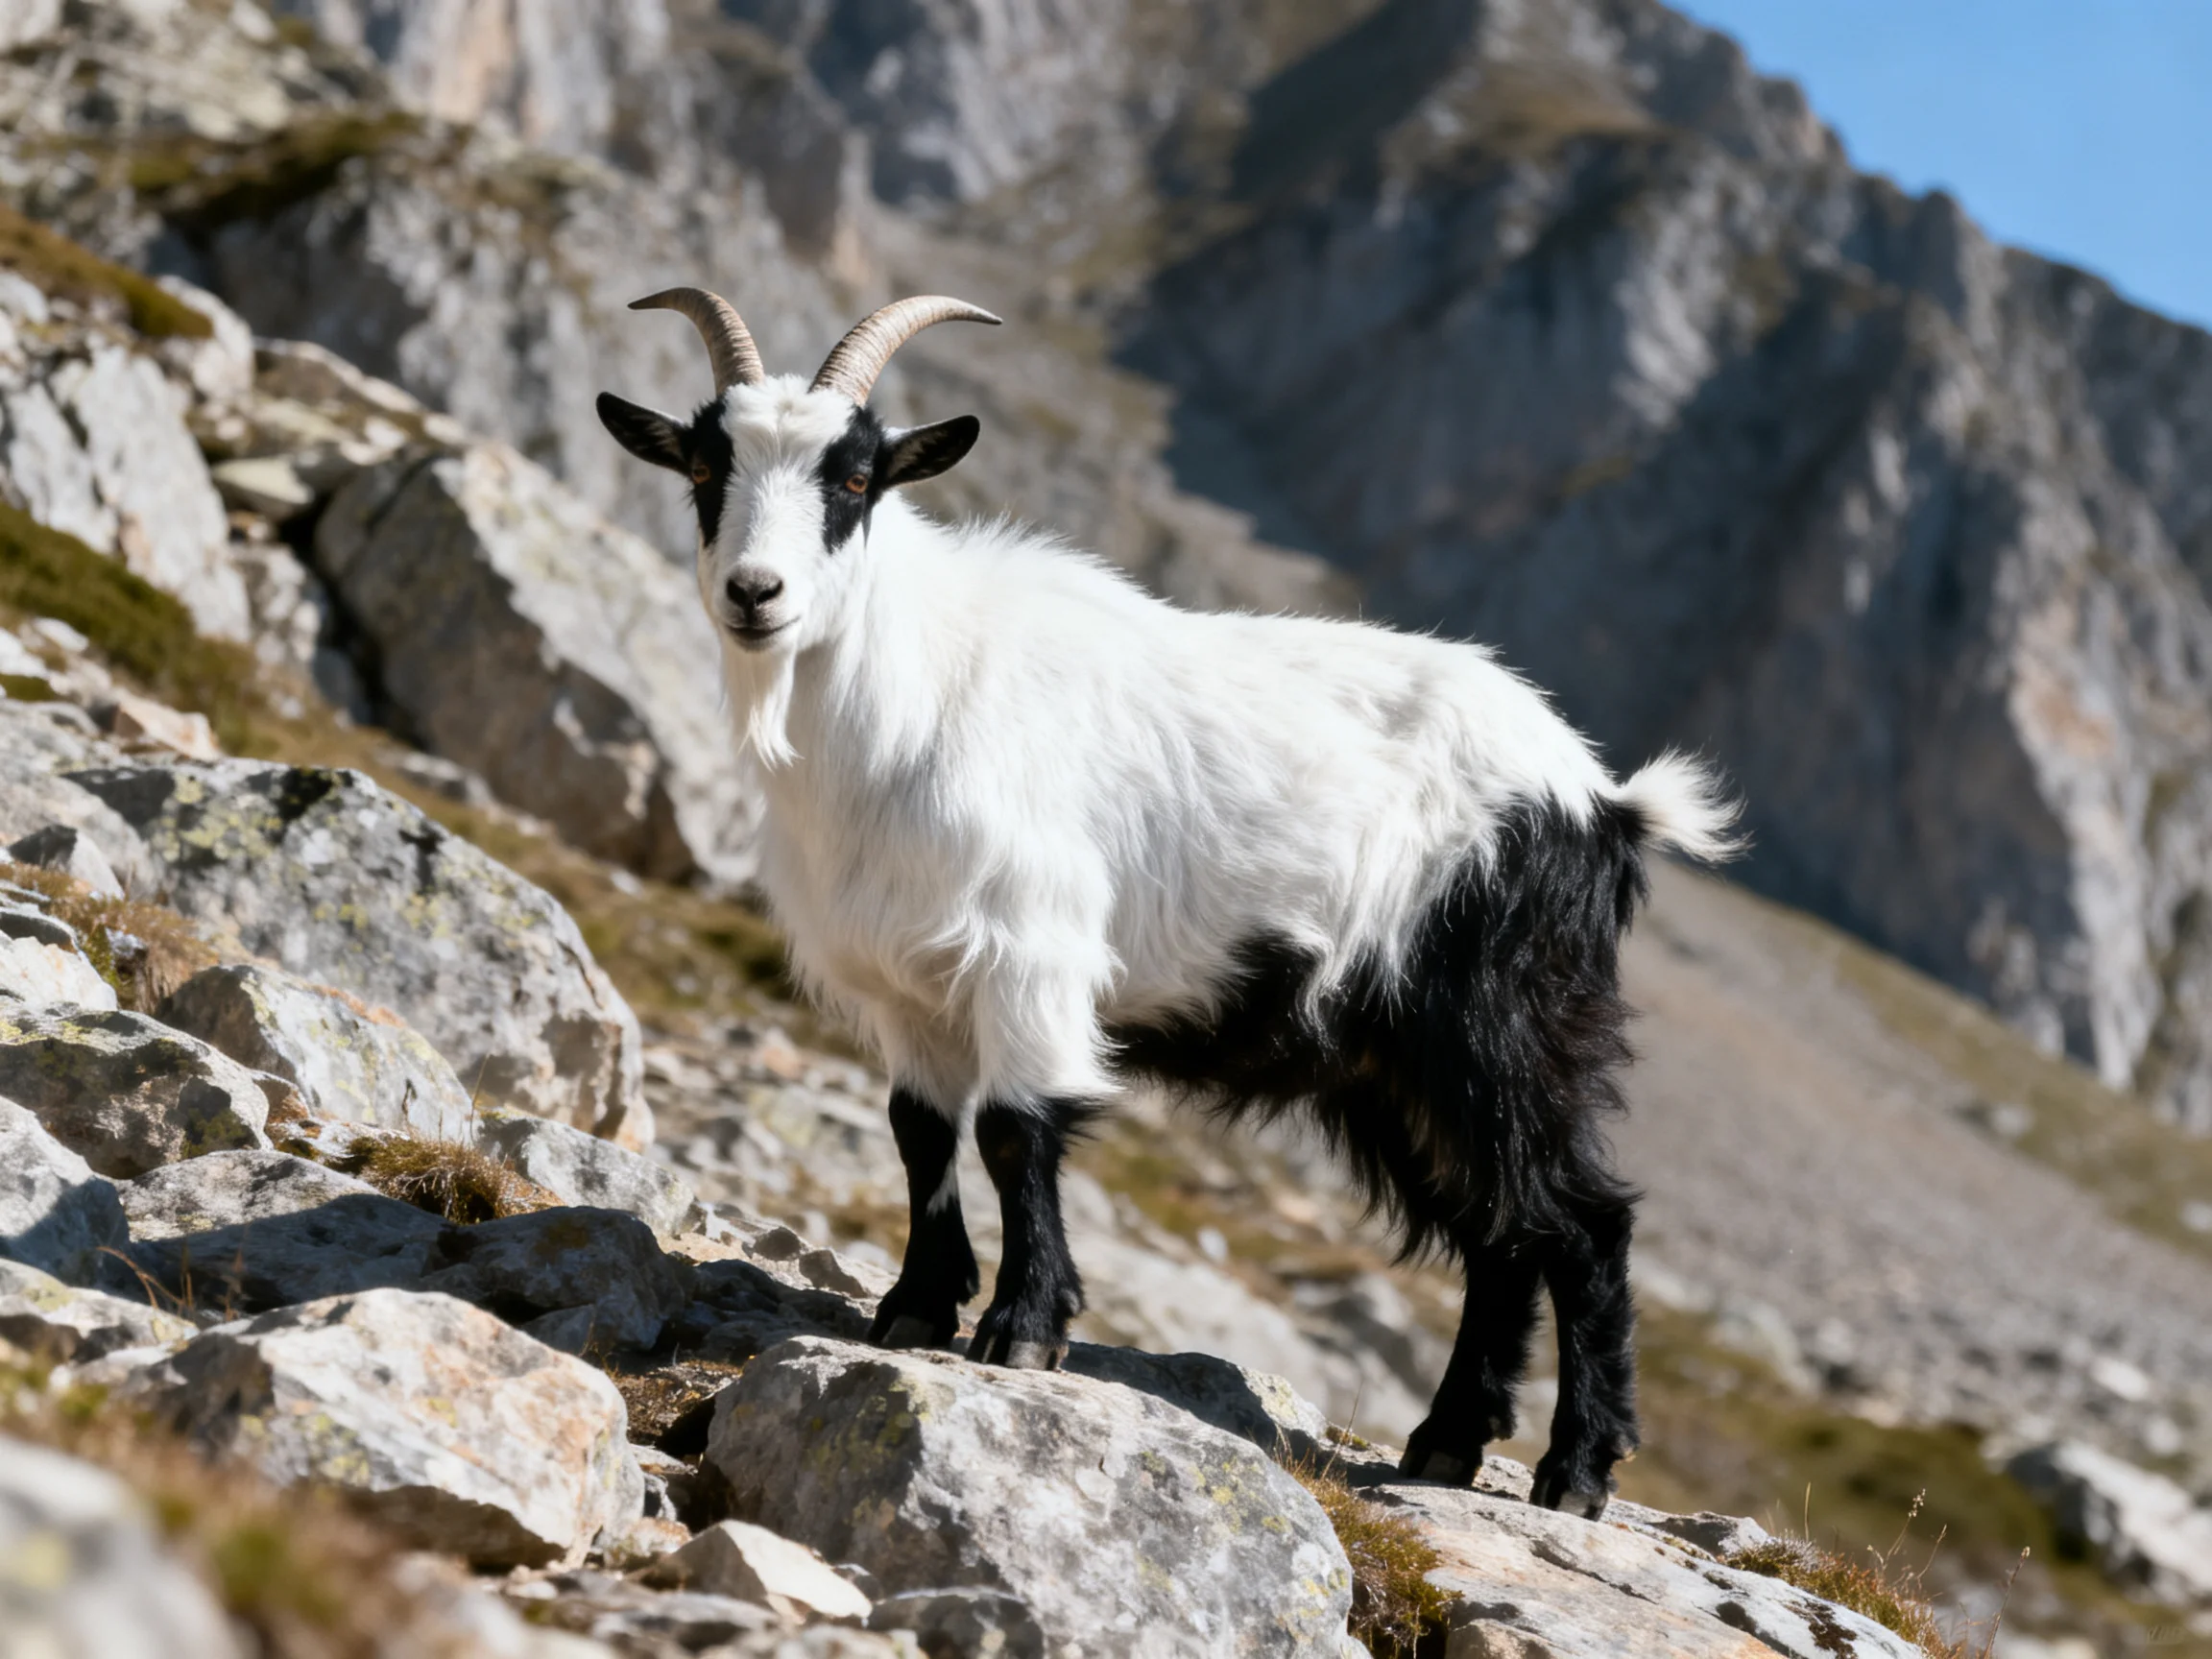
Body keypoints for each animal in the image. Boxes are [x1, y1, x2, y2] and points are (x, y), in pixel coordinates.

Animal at [598, 289, 1740, 1515]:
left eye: (855, 478)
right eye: (704, 466)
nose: (753, 595)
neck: (908, 696)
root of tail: (1607, 803)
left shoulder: (1032, 953)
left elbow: (1013, 1131)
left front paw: (1021, 1331)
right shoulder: (907, 984)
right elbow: (919, 1132)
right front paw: (913, 1308)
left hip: (1503, 1024)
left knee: (1582, 1224)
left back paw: (1573, 1472)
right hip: (1394, 1065)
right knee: (1500, 1232)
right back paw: (1443, 1446)